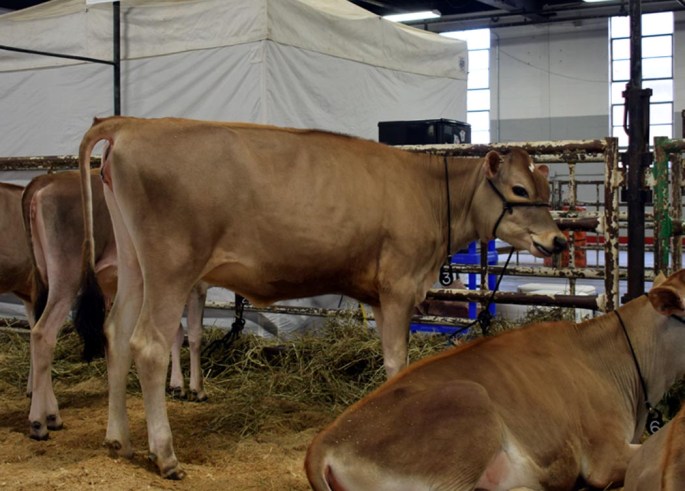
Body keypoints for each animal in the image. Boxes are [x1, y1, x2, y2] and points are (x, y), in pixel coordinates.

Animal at [22, 170, 208, 441]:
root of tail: (46, 182)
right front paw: (197, 388)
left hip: (44, 277)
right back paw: (40, 422)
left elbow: (176, 334)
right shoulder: (197, 285)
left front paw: (176, 385)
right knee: (42, 334)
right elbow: (193, 335)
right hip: (66, 276)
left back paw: (50, 414)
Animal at [76, 116, 566, 478]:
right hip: (171, 266)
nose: (558, 240)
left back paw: (118, 439)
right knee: (149, 345)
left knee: (116, 333)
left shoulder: (378, 294)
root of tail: (133, 124)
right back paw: (165, 456)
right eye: (519, 190)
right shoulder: (399, 284)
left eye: (544, 191)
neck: (429, 194)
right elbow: (397, 362)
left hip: (135, 265)